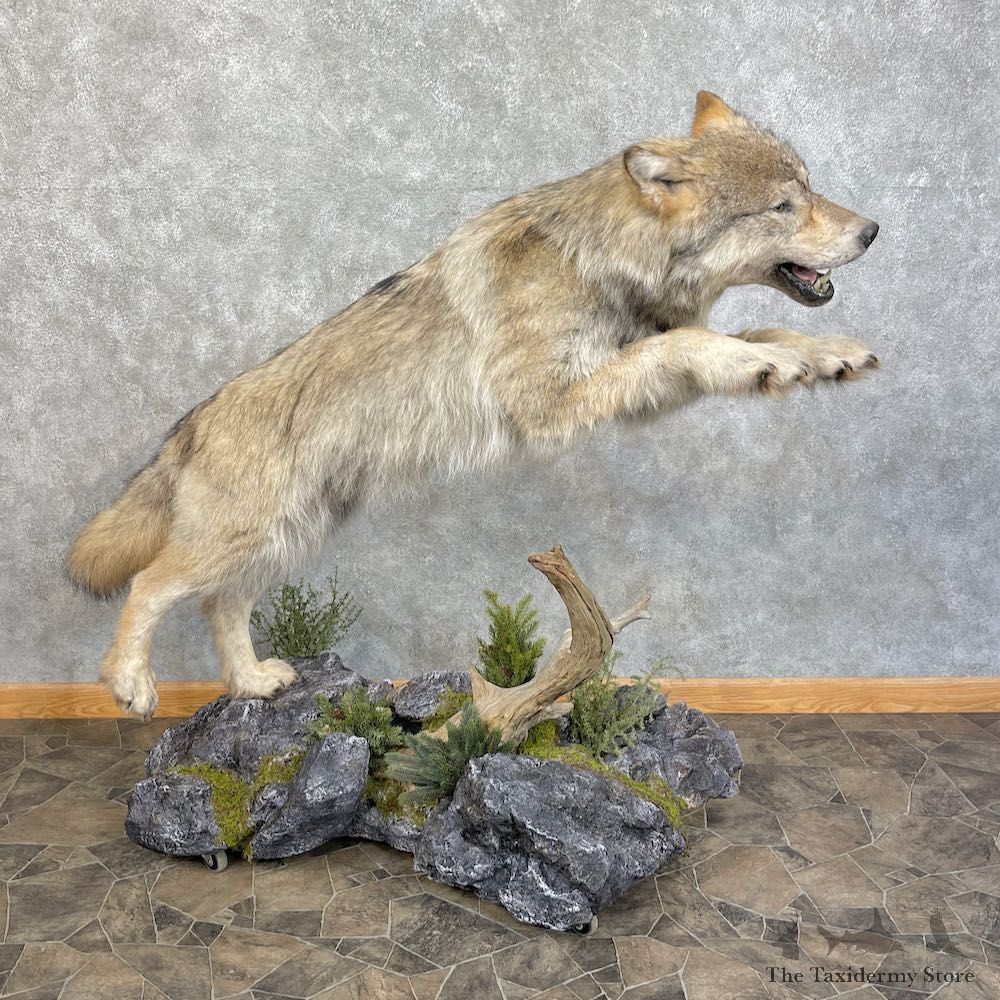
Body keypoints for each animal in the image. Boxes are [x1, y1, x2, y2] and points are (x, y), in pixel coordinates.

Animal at [66, 92, 880, 719]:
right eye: (783, 206)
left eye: (810, 188)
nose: (873, 231)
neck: (597, 261)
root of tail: (191, 423)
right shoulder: (553, 409)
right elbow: (689, 344)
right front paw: (769, 360)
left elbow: (743, 333)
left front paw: (817, 354)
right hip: (245, 540)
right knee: (150, 586)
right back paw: (131, 684)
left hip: (283, 541)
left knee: (220, 607)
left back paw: (252, 683)